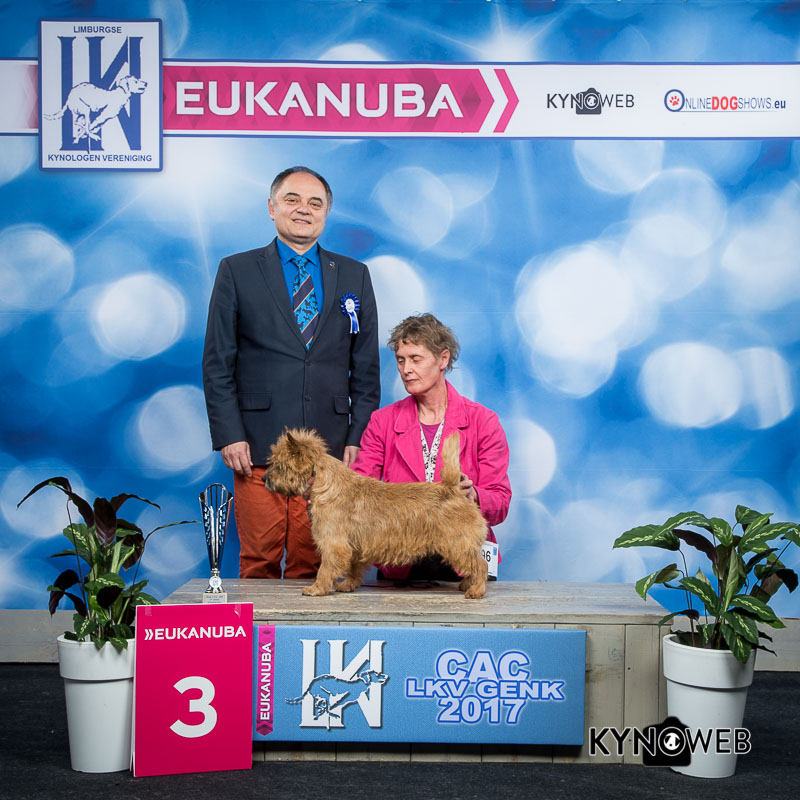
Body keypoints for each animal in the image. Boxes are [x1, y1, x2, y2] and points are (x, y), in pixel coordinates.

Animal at [265, 428, 488, 599]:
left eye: (278, 465)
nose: (264, 478)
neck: (327, 484)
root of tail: (453, 489)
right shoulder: (354, 545)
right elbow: (353, 567)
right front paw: (348, 585)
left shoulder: (333, 543)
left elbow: (325, 568)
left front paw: (316, 588)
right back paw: (467, 584)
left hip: (457, 543)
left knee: (480, 564)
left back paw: (476, 590)